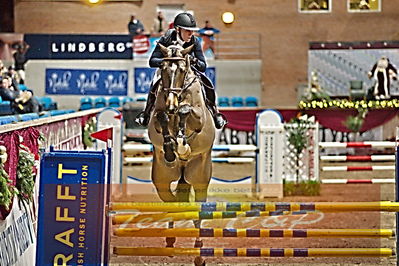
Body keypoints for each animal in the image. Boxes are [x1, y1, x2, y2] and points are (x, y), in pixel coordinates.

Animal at [148, 43, 216, 264]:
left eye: (182, 70)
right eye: (163, 69)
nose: (171, 103)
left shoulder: (199, 117)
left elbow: (186, 111)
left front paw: (182, 144)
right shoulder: (158, 116)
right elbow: (162, 117)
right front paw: (172, 147)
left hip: (199, 176)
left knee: (199, 206)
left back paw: (199, 251)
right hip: (162, 179)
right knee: (173, 202)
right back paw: (170, 240)